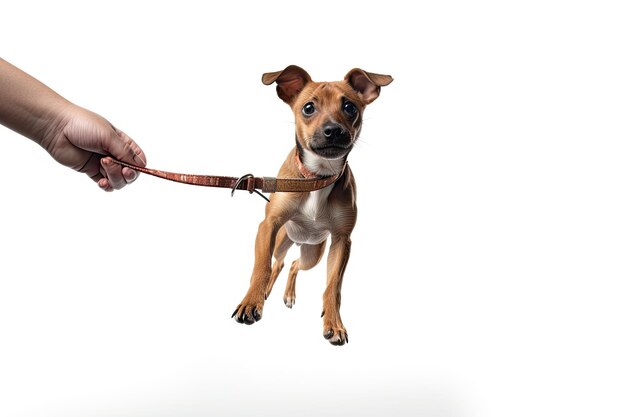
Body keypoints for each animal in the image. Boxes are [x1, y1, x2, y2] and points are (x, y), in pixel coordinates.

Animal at [232, 65, 392, 344]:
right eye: (308, 108)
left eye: (349, 107)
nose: (334, 130)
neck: (318, 177)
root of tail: (299, 240)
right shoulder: (268, 225)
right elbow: (261, 268)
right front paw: (251, 302)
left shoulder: (341, 240)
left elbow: (333, 287)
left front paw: (334, 323)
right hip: (280, 239)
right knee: (277, 263)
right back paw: (266, 293)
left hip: (313, 253)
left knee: (293, 264)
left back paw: (288, 294)